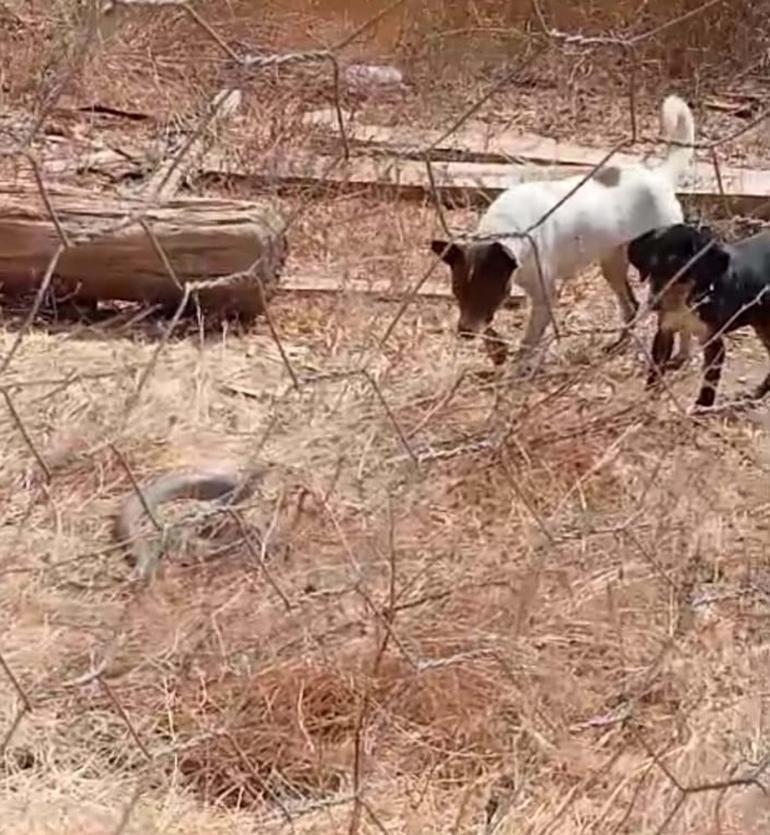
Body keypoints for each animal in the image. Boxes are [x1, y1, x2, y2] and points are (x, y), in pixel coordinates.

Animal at [628, 224, 768, 410]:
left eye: (681, 268)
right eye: (652, 264)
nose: (654, 303)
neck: (685, 301)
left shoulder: (713, 342)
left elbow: (710, 380)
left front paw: (702, 407)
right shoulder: (665, 331)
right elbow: (656, 367)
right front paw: (649, 394)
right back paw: (756, 393)